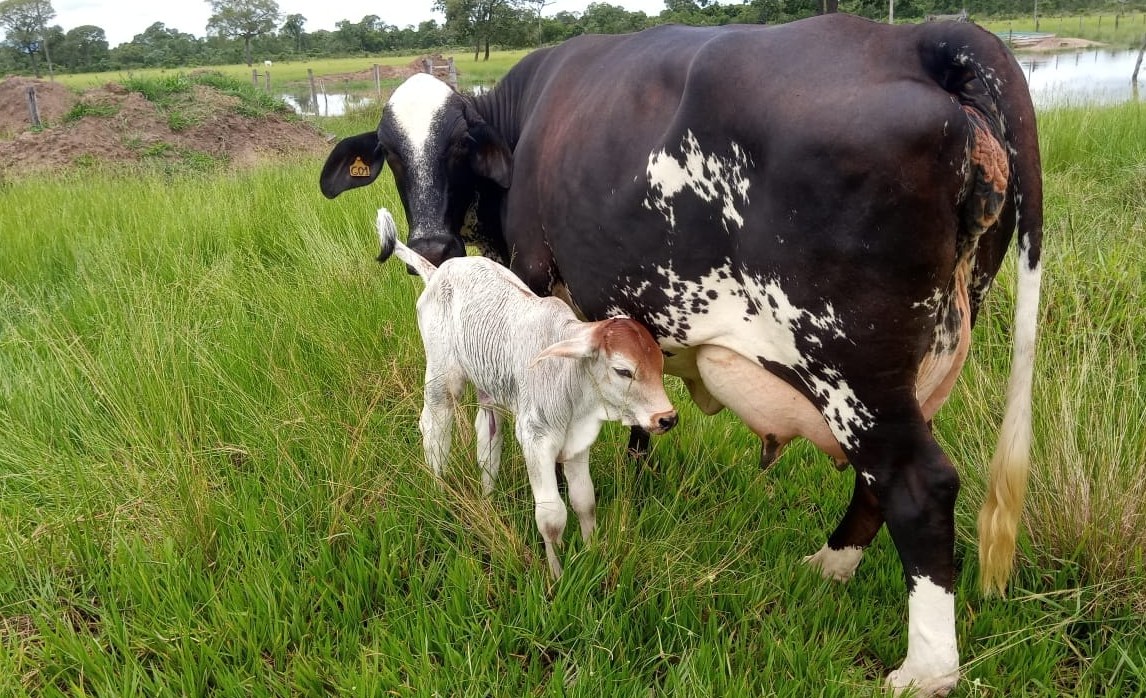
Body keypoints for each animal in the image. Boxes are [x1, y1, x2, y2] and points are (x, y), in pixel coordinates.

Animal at [375, 206, 678, 577]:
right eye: (623, 370)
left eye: (660, 366)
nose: (666, 418)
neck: (571, 384)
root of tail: (439, 271)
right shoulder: (536, 439)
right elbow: (552, 517)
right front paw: (557, 576)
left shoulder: (578, 444)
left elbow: (585, 502)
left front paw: (592, 554)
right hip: (442, 379)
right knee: (434, 428)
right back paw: (439, 487)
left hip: (488, 388)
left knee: (487, 438)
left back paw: (488, 500)